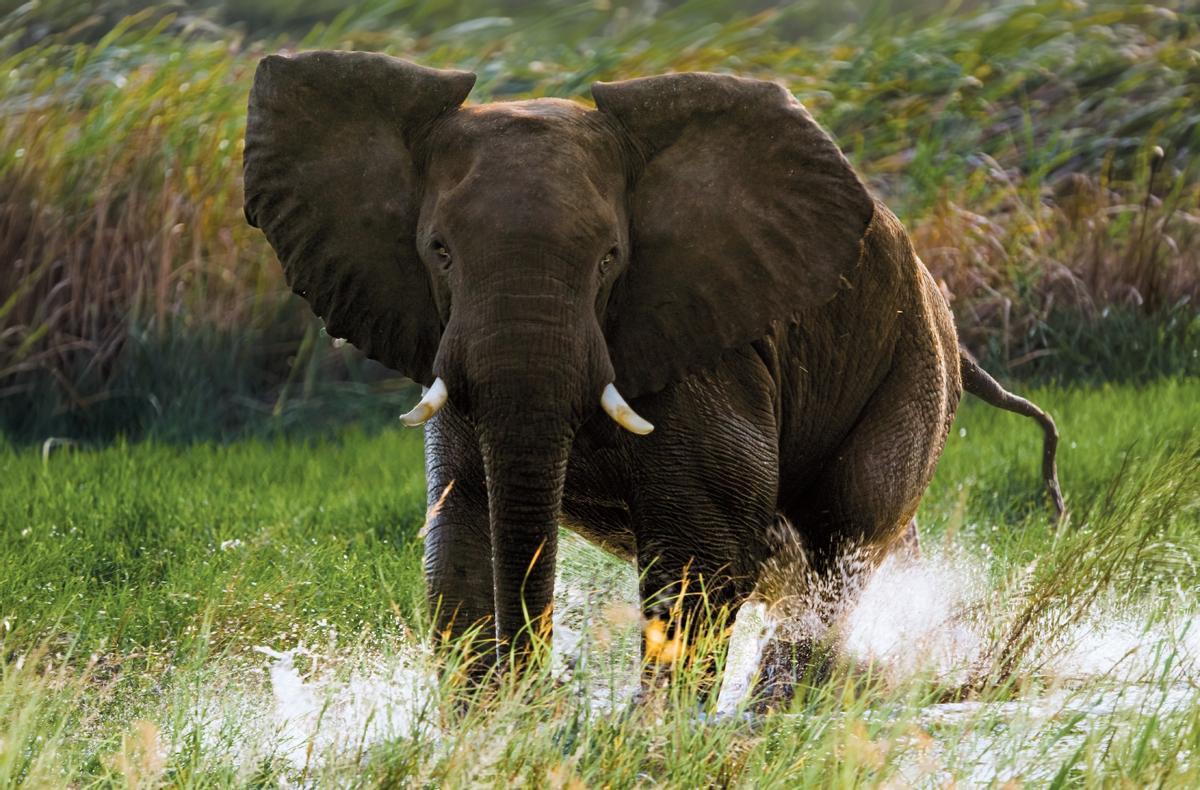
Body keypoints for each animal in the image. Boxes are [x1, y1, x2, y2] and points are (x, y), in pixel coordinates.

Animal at [242, 50, 1064, 698]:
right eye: (439, 251)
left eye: (611, 258)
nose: (545, 694)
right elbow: (461, 531)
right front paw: (488, 733)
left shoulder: (709, 348)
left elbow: (704, 547)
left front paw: (650, 742)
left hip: (909, 367)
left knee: (843, 538)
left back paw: (780, 713)